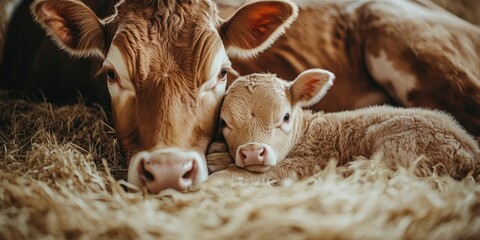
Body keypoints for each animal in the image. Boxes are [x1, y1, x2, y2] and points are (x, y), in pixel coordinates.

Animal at [209, 70, 480, 182]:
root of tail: (468, 148)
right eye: (223, 122)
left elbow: (231, 176)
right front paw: (217, 156)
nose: (253, 151)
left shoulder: (303, 162)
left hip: (401, 141)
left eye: (285, 117)